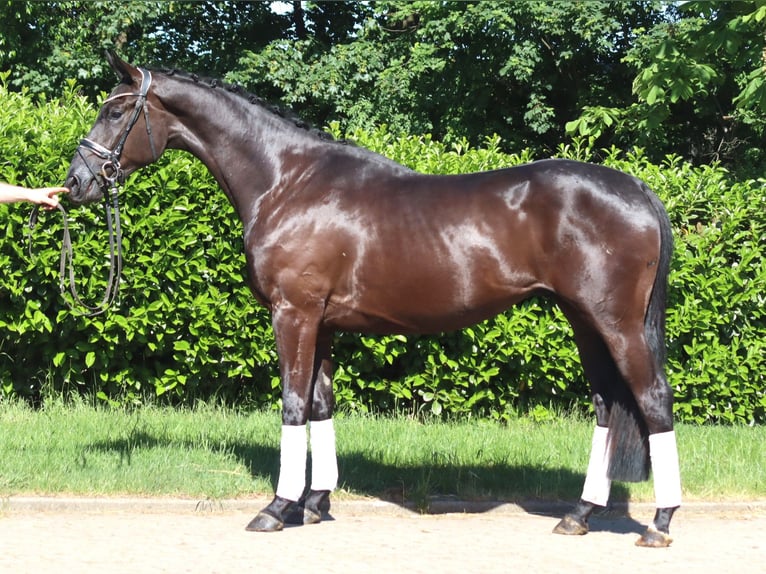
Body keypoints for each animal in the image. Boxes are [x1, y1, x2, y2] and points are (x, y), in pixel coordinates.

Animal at [64, 52, 681, 548]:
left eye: (116, 112)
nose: (75, 184)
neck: (287, 181)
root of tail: (635, 188)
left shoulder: (293, 315)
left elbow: (293, 404)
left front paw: (277, 508)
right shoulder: (323, 323)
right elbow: (320, 404)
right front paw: (314, 504)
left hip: (616, 323)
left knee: (653, 401)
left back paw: (660, 522)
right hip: (584, 320)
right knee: (608, 406)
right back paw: (579, 515)